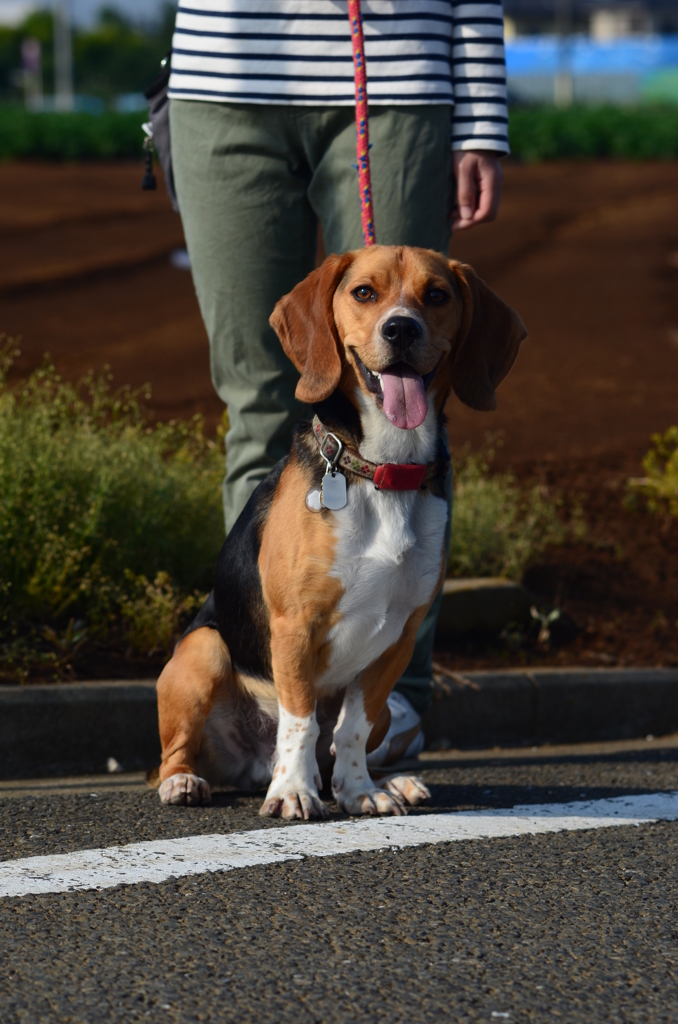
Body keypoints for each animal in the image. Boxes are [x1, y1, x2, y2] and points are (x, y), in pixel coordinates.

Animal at [155, 243, 524, 819]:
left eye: (437, 295)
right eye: (364, 292)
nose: (401, 329)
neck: (383, 468)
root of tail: (250, 766)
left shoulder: (397, 639)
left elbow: (350, 728)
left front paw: (358, 791)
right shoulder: (295, 626)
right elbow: (301, 722)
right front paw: (293, 792)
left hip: (391, 709)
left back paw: (392, 781)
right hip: (203, 649)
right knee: (178, 753)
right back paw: (188, 782)